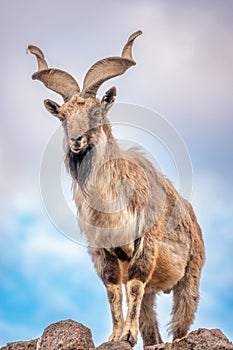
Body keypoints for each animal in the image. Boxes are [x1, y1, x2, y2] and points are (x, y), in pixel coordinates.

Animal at [28, 31, 204, 348]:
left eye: (97, 110)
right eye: (63, 115)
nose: (76, 140)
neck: (111, 205)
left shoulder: (145, 241)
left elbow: (132, 285)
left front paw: (128, 334)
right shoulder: (101, 250)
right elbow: (113, 290)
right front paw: (115, 334)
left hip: (190, 277)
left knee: (181, 322)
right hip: (155, 291)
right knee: (151, 324)